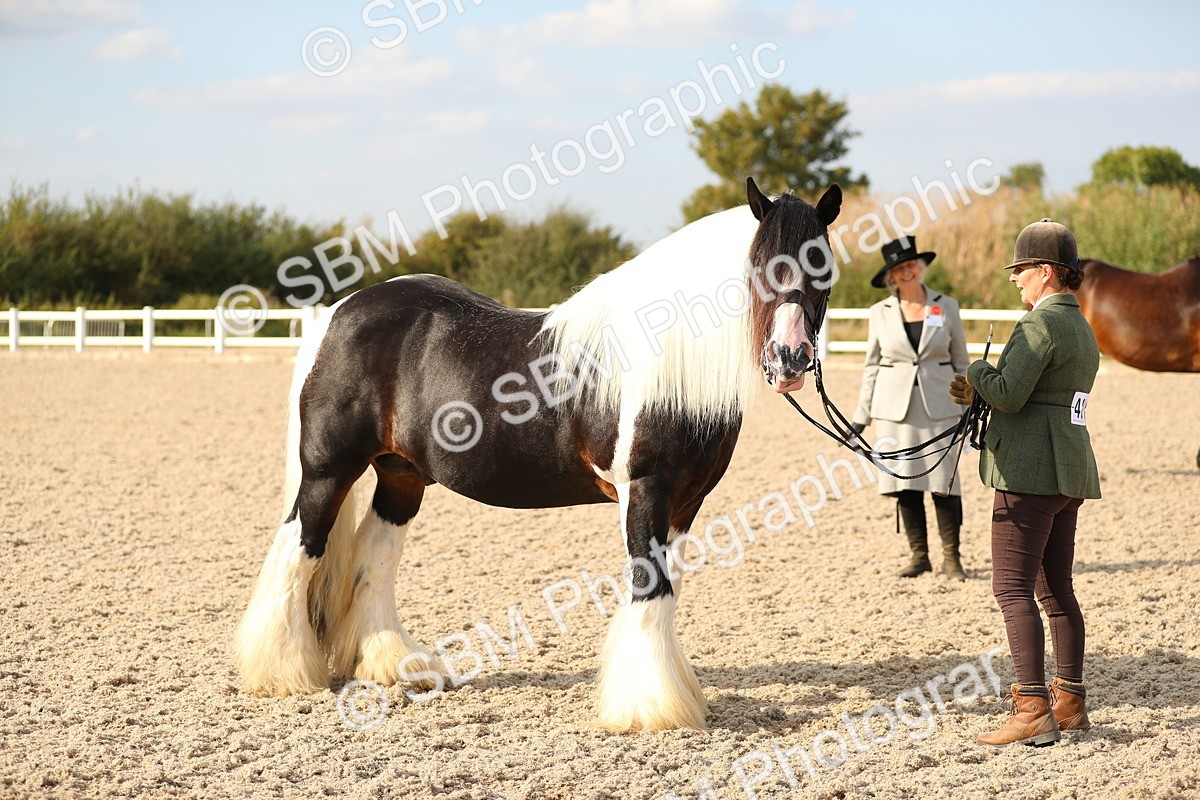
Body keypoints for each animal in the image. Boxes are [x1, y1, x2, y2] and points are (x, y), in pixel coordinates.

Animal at [235, 178, 843, 732]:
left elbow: (665, 593)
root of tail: (339, 313)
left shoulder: (686, 503)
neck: (664, 363)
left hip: (401, 479)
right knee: (298, 549)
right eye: (761, 267)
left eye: (824, 271)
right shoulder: (645, 491)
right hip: (328, 472)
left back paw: (394, 666)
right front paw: (651, 708)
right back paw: (279, 673)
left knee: (373, 560)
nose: (790, 360)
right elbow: (650, 587)